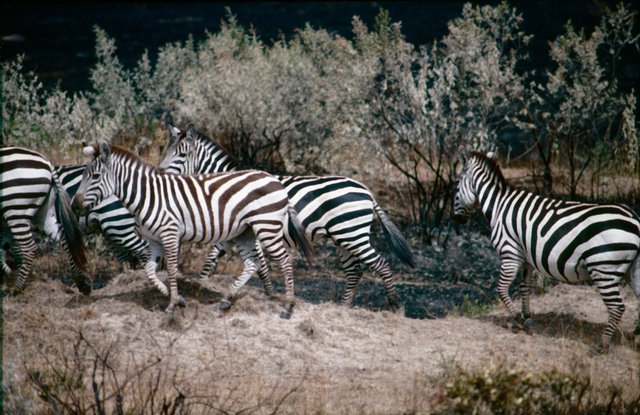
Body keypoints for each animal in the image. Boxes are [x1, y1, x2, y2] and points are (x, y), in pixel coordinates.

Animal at [0, 146, 92, 296]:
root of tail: (48, 163)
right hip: (43, 213)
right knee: (65, 239)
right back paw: (81, 283)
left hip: (16, 208)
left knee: (28, 248)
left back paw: (17, 289)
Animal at [75, 143, 316, 318]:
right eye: (84, 175)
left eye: (94, 176)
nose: (75, 205)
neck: (147, 195)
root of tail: (275, 179)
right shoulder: (154, 240)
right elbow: (149, 271)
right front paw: (178, 299)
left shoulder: (170, 233)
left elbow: (172, 269)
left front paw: (172, 305)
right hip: (245, 231)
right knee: (252, 263)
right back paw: (227, 299)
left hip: (267, 226)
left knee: (284, 260)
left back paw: (288, 307)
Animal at [158, 122, 412, 310]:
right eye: (165, 151)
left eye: (182, 155)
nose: (159, 173)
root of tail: (367, 190)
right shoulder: (232, 231)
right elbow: (212, 261)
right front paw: (200, 286)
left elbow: (259, 266)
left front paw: (270, 295)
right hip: (343, 237)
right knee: (355, 270)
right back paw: (343, 308)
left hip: (352, 234)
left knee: (380, 263)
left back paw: (395, 305)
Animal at [452, 148, 640, 352]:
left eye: (456, 187)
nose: (455, 220)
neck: (498, 206)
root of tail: (634, 218)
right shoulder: (526, 257)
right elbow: (524, 286)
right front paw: (527, 318)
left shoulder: (510, 252)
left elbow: (501, 288)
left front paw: (518, 319)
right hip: (632, 269)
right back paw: (635, 336)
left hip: (604, 267)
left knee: (617, 307)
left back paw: (601, 345)